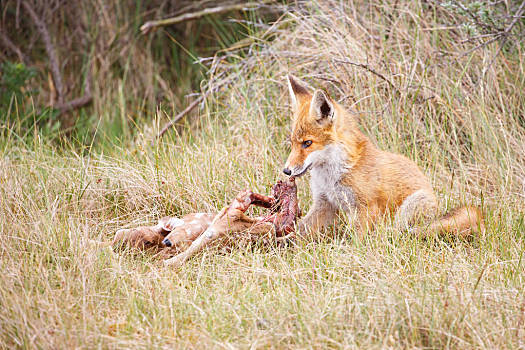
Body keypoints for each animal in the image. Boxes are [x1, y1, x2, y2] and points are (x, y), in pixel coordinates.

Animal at [282, 75, 484, 239]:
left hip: (412, 205)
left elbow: (356, 240)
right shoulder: (325, 204)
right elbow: (297, 232)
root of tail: (439, 210)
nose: (286, 170)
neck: (332, 174)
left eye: (307, 143)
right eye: (292, 143)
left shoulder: (366, 208)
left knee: (399, 232)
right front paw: (278, 243)